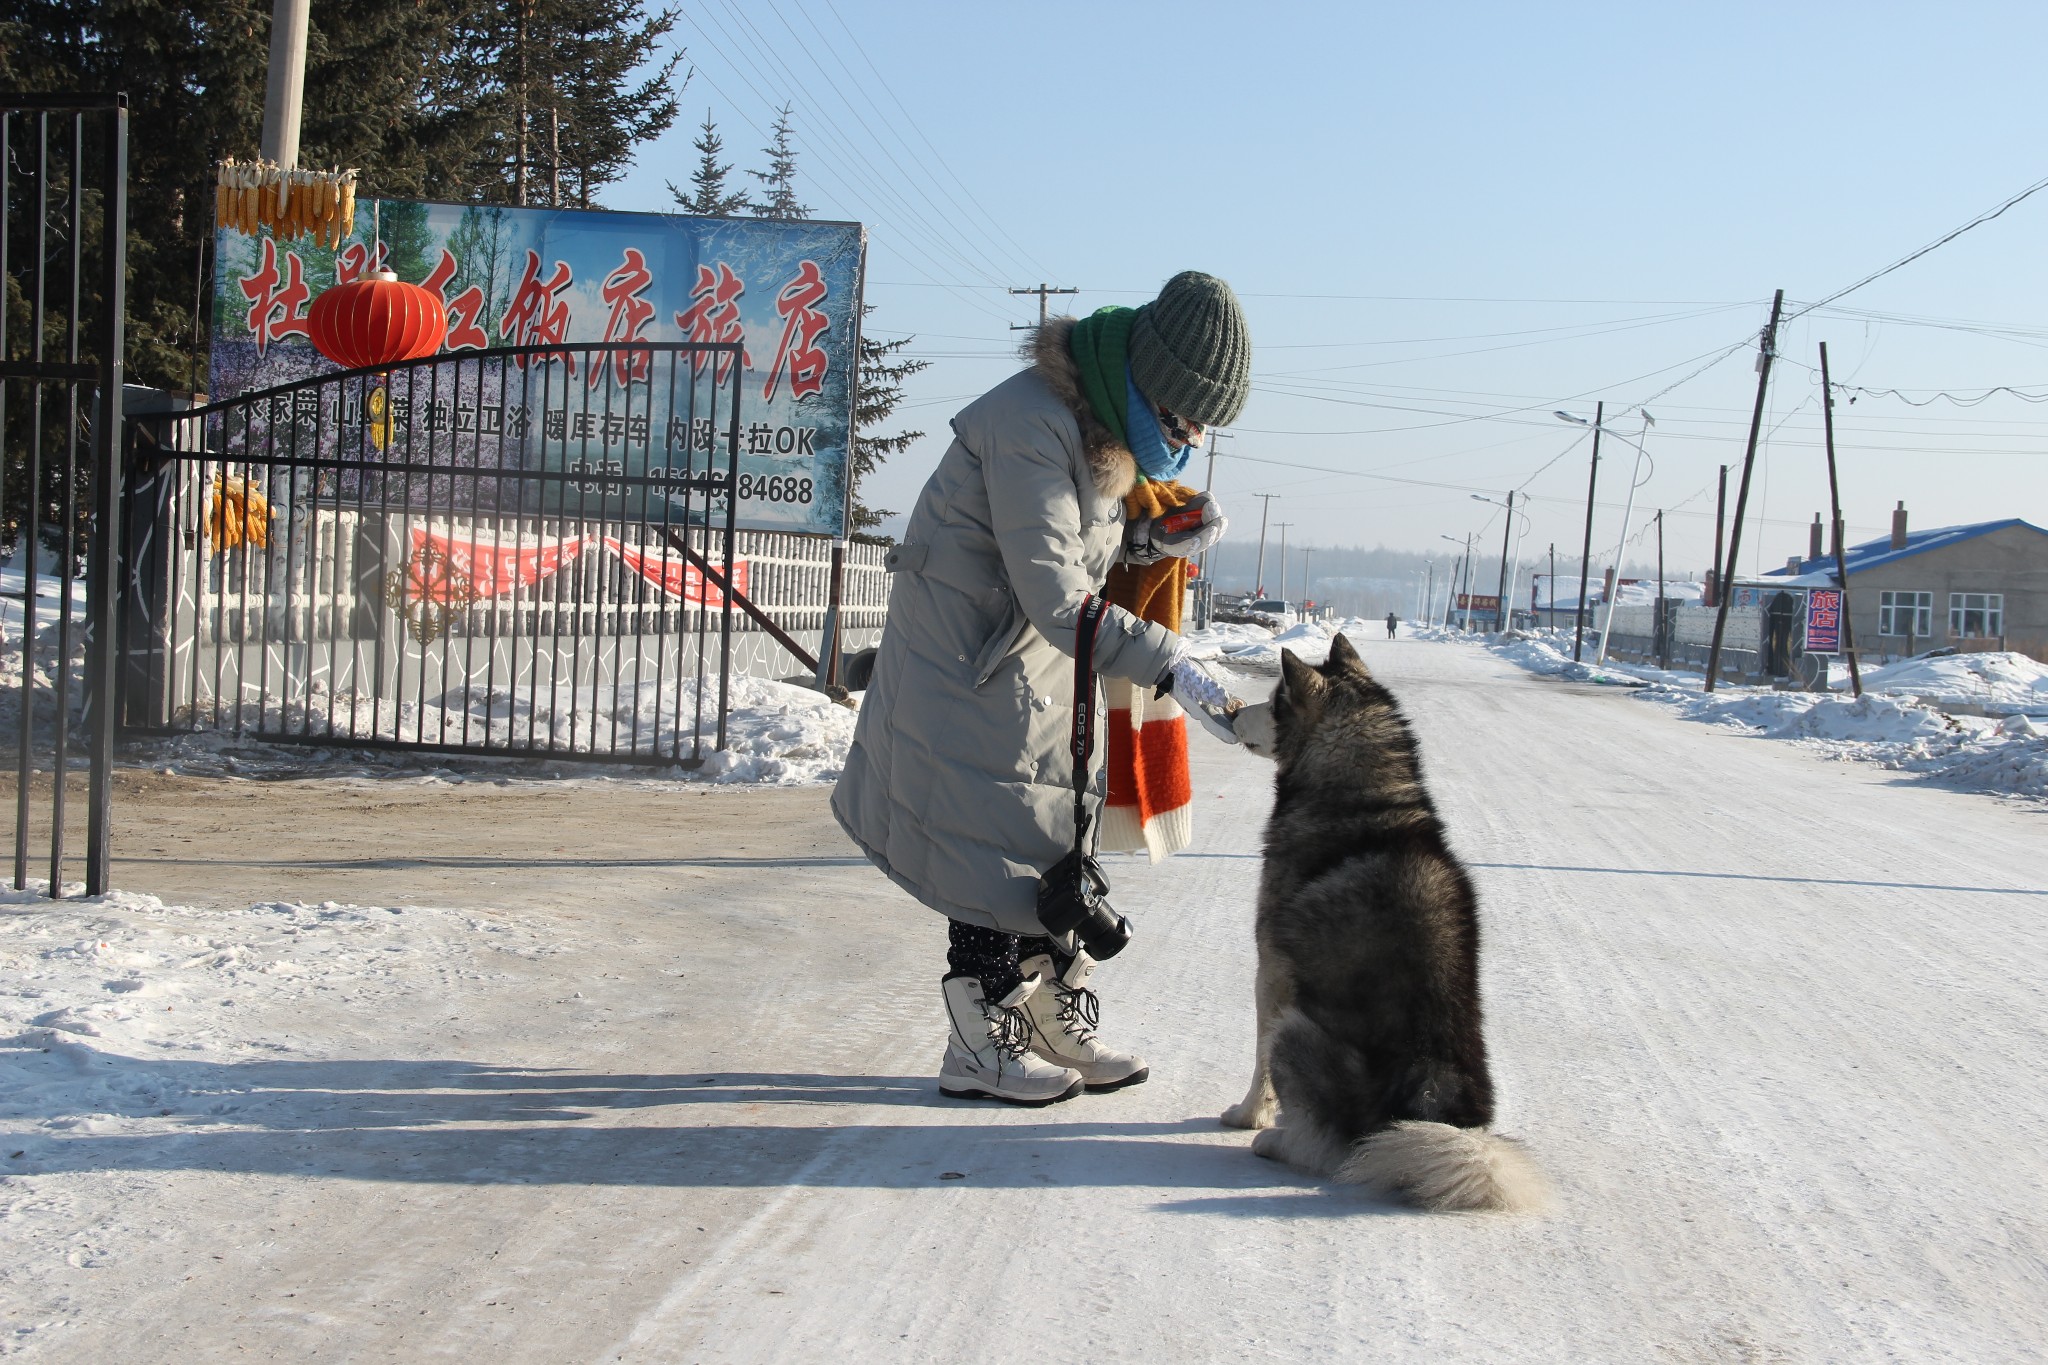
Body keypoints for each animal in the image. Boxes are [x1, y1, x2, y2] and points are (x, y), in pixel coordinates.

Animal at [1220, 634, 1540, 1211]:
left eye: (1275, 703)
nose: (1232, 713)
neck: (1364, 802)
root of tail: (1427, 1119)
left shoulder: (1271, 974)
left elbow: (1258, 1066)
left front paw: (1246, 1114)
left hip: (1296, 1031)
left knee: (1333, 1153)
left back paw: (1275, 1140)